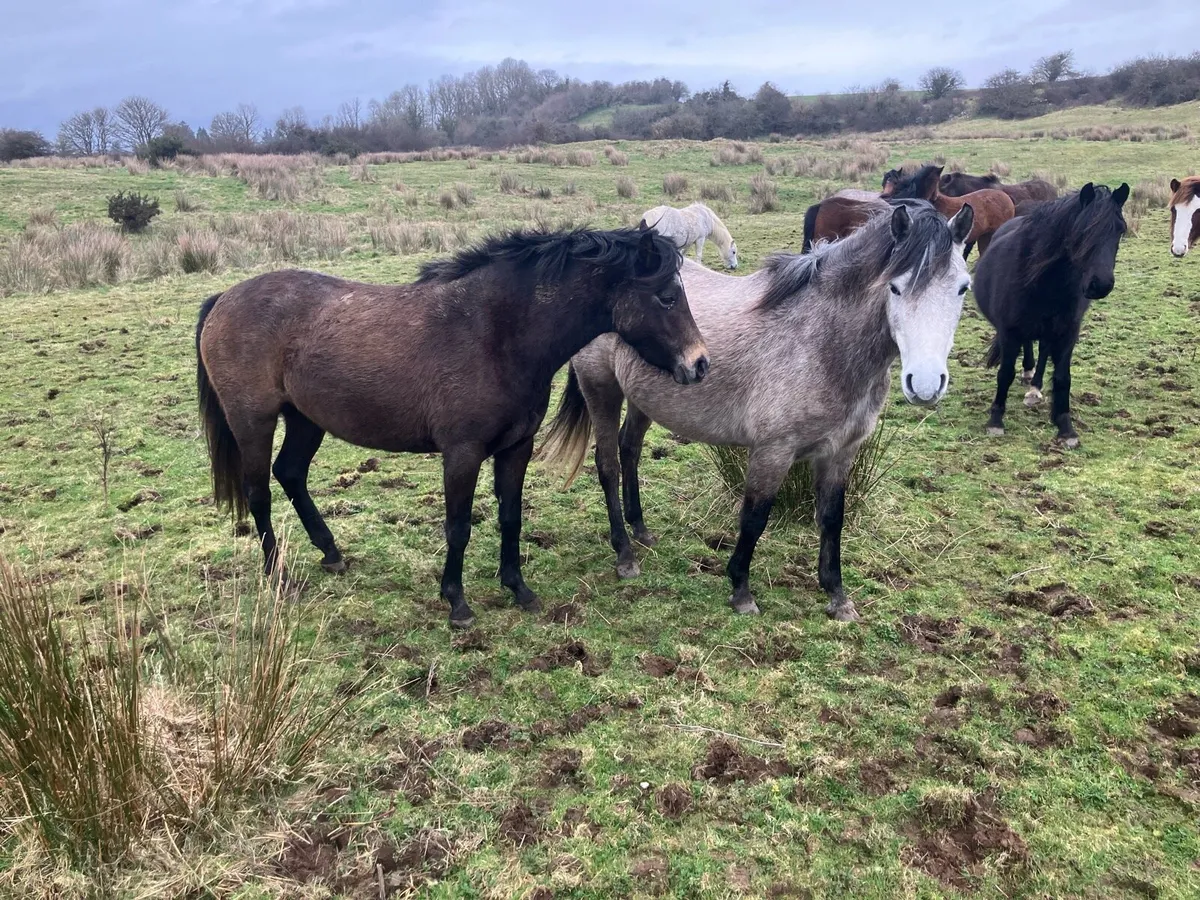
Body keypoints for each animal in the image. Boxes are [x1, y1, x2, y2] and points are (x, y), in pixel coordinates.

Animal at [195, 227, 709, 629]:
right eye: (667, 297)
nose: (700, 363)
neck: (494, 332)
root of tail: (224, 298)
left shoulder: (516, 448)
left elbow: (510, 517)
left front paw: (518, 589)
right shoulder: (462, 453)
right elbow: (458, 526)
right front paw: (457, 603)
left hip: (306, 420)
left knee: (290, 474)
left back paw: (331, 552)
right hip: (255, 422)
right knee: (259, 491)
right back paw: (277, 575)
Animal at [541, 201, 974, 622]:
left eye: (962, 288)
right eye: (895, 288)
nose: (925, 383)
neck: (820, 342)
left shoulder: (840, 453)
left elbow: (832, 519)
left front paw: (837, 596)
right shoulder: (773, 451)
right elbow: (755, 517)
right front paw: (741, 591)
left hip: (644, 396)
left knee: (630, 450)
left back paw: (641, 530)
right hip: (601, 388)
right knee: (609, 464)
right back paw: (625, 555)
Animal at [974, 182, 1129, 448]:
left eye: (1120, 230)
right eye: (1082, 230)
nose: (1100, 285)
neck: (1045, 282)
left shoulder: (1068, 334)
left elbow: (1062, 377)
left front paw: (1066, 427)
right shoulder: (1009, 331)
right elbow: (1005, 374)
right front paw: (995, 420)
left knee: (1043, 351)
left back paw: (1034, 388)